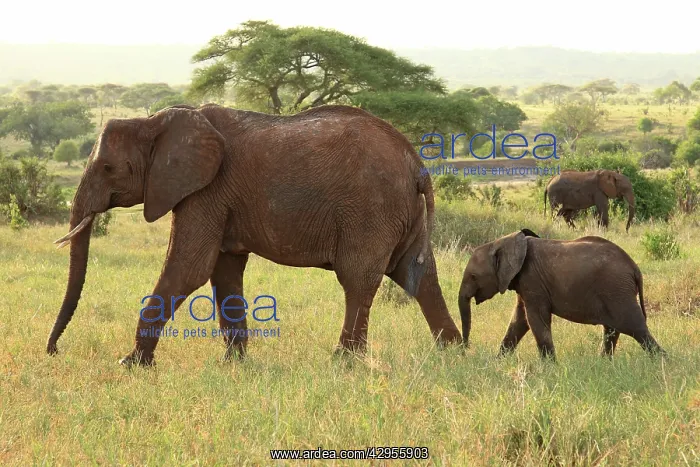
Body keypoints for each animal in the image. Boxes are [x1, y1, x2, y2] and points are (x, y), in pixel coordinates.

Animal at [47, 103, 462, 367]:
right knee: (417, 274)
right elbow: (223, 271)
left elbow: (189, 269)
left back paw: (344, 361)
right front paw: (233, 363)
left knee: (358, 279)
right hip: (400, 212)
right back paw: (453, 352)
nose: (54, 352)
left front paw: (131, 363)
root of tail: (417, 164)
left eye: (107, 167)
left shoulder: (206, 191)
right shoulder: (217, 198)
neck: (152, 122)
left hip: (371, 210)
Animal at [457, 229, 665, 361]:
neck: (504, 242)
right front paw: (496, 362)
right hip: (615, 291)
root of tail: (635, 268)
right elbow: (518, 321)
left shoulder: (532, 281)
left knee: (636, 328)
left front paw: (549, 368)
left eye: (474, 277)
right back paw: (603, 363)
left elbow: (535, 320)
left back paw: (663, 363)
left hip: (617, 290)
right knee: (613, 330)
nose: (465, 349)